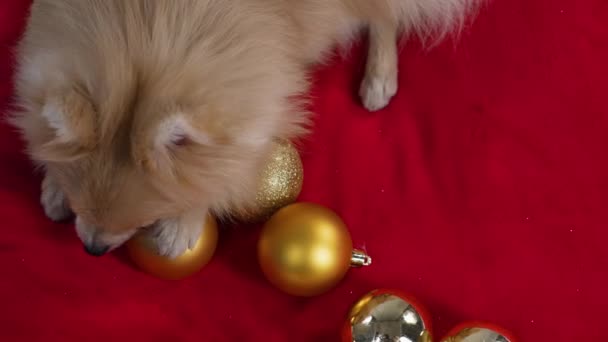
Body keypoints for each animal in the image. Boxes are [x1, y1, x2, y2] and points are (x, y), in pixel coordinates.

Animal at [9, 0, 480, 256]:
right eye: (83, 210)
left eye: (147, 218)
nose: (93, 248)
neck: (147, 31)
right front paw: (54, 181)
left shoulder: (261, 94)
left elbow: (225, 169)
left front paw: (184, 222)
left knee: (385, 16)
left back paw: (379, 78)